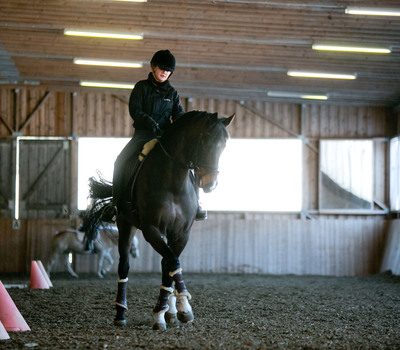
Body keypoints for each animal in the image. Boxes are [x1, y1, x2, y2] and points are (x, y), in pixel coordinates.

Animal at [84, 110, 234, 330]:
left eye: (224, 145)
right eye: (205, 141)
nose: (210, 184)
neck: (174, 182)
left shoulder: (181, 233)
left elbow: (171, 266)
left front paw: (170, 312)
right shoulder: (152, 229)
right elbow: (172, 262)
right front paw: (181, 309)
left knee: (165, 265)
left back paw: (169, 312)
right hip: (126, 224)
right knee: (124, 266)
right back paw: (120, 313)